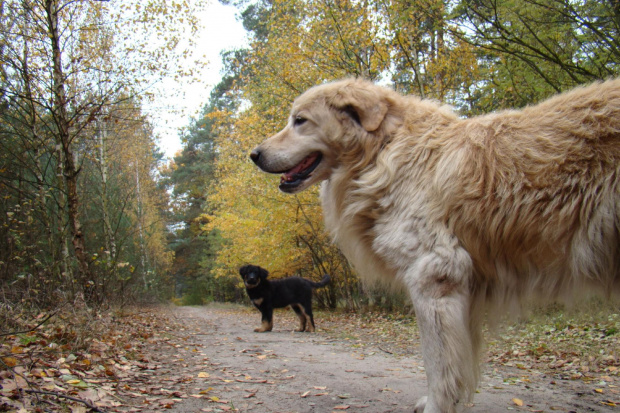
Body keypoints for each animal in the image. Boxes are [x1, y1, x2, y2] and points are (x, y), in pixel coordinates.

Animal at [248, 79, 620, 410]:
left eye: (300, 120)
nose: (253, 154)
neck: (384, 151)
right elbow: (457, 369)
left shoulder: (433, 279)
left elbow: (438, 367)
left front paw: (437, 406)